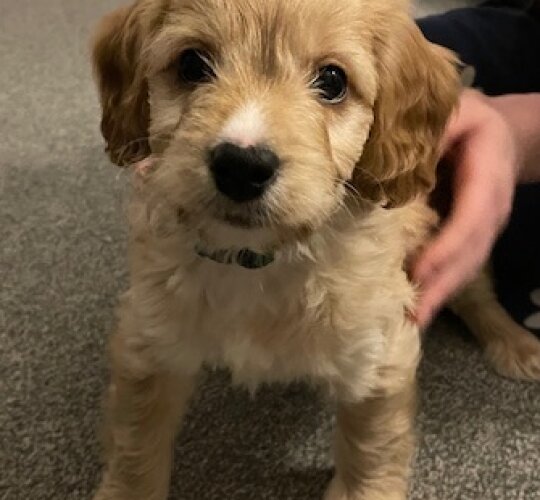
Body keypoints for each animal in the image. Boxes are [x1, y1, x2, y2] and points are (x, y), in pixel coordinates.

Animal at [90, 0, 540, 498]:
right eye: (191, 64)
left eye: (333, 81)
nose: (241, 167)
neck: (257, 261)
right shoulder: (149, 340)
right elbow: (135, 441)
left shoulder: (379, 354)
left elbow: (372, 447)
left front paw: (367, 489)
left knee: (478, 295)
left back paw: (516, 342)